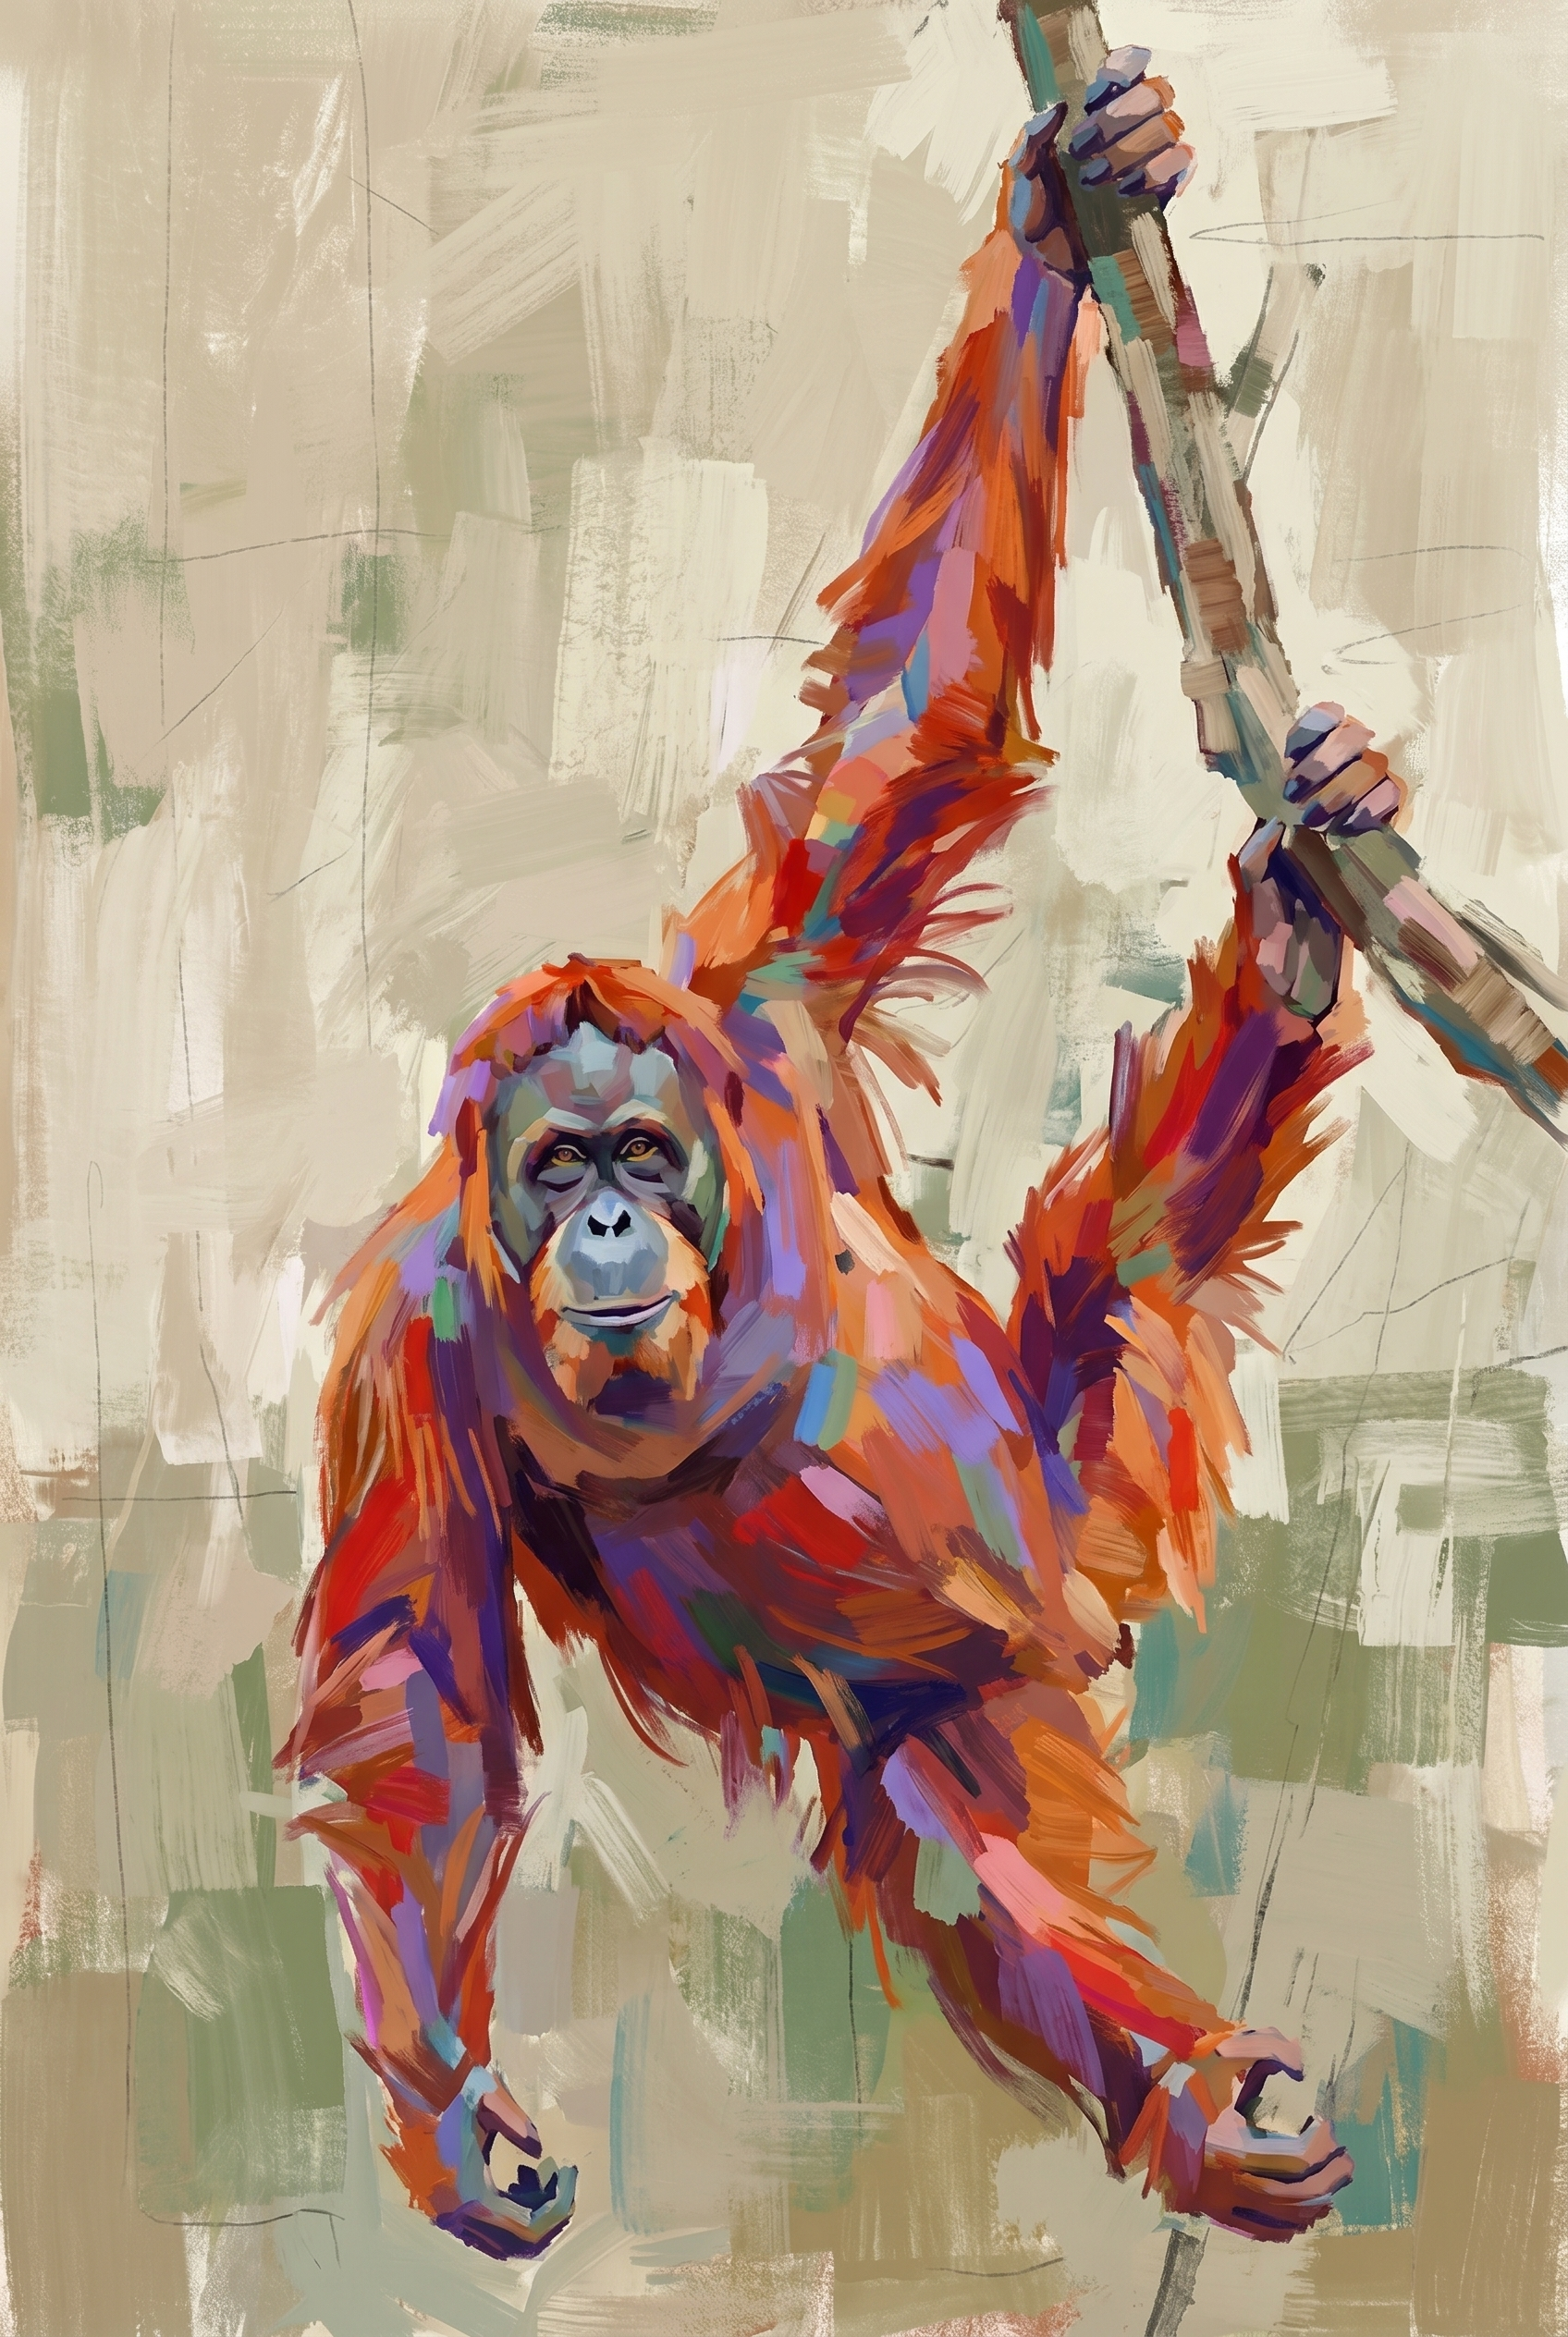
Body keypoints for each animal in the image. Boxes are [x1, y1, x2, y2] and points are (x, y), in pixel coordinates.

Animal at [281, 52, 1383, 2259]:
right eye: (553, 1174)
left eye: (638, 1144)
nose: (611, 1221)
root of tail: (1072, 1600)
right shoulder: (409, 1322)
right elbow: (416, 1684)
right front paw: (452, 2114)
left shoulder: (766, 1012)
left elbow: (913, 728)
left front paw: (1064, 197)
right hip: (974, 1689)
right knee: (960, 1850)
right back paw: (1193, 2100)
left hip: (1073, 1472)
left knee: (1131, 1248)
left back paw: (1295, 957)